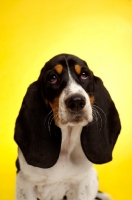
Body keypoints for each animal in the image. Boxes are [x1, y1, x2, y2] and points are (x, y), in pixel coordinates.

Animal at [14, 54, 120, 199]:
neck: (65, 147)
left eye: (84, 75)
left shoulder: (80, 183)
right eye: (53, 78)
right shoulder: (26, 183)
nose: (76, 101)